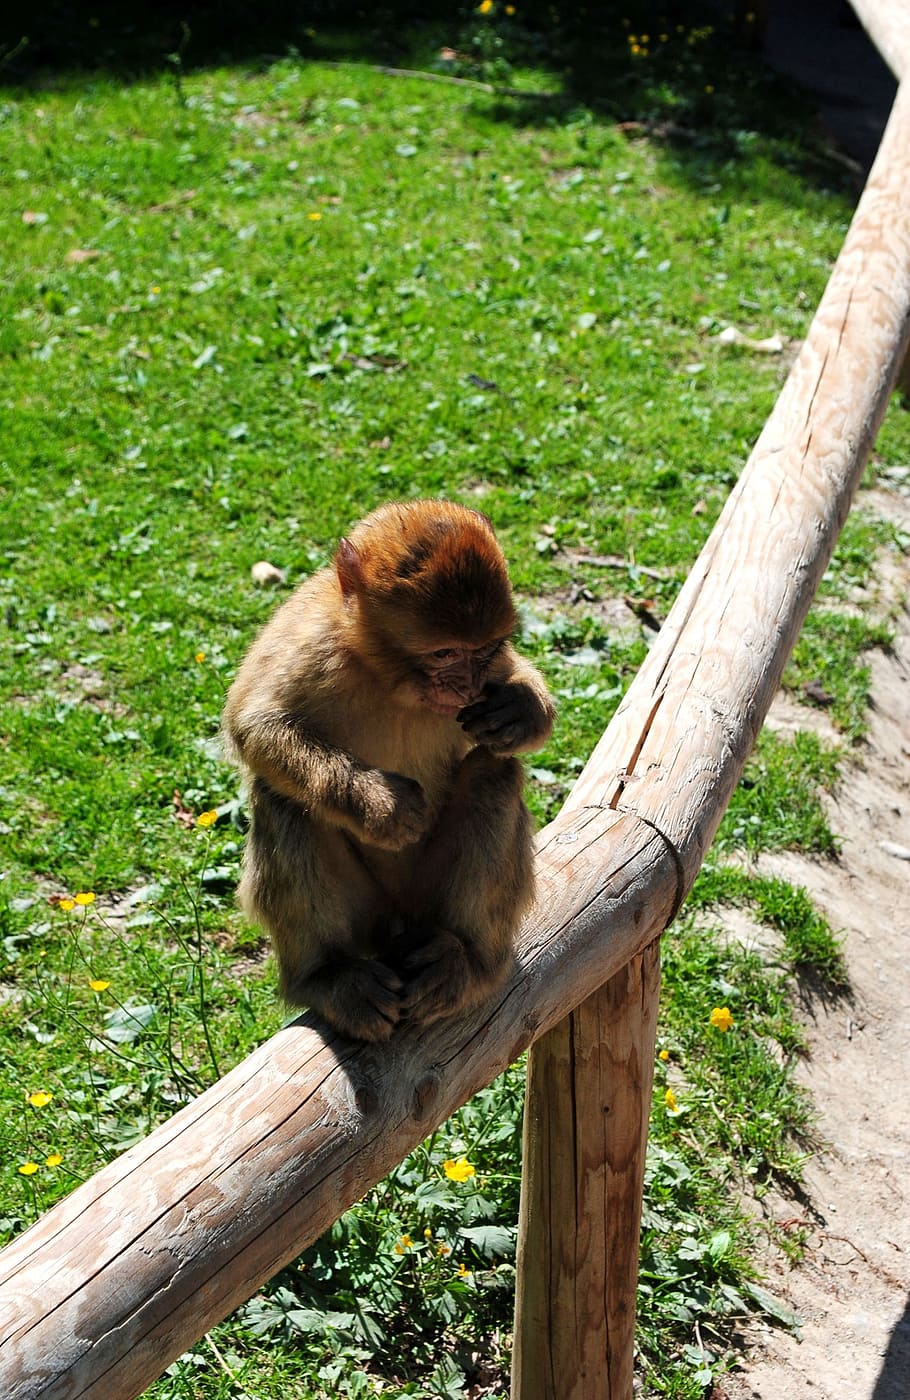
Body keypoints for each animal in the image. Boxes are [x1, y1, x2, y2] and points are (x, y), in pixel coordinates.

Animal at [223, 500, 555, 1042]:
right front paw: (380, 805)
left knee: (493, 774)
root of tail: (397, 922)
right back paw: (326, 974)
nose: (468, 685)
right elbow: (255, 725)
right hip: (367, 911)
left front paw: (521, 708)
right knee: (281, 797)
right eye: (445, 652)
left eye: (484, 650)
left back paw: (471, 961)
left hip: (426, 900)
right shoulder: (306, 638)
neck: (388, 677)